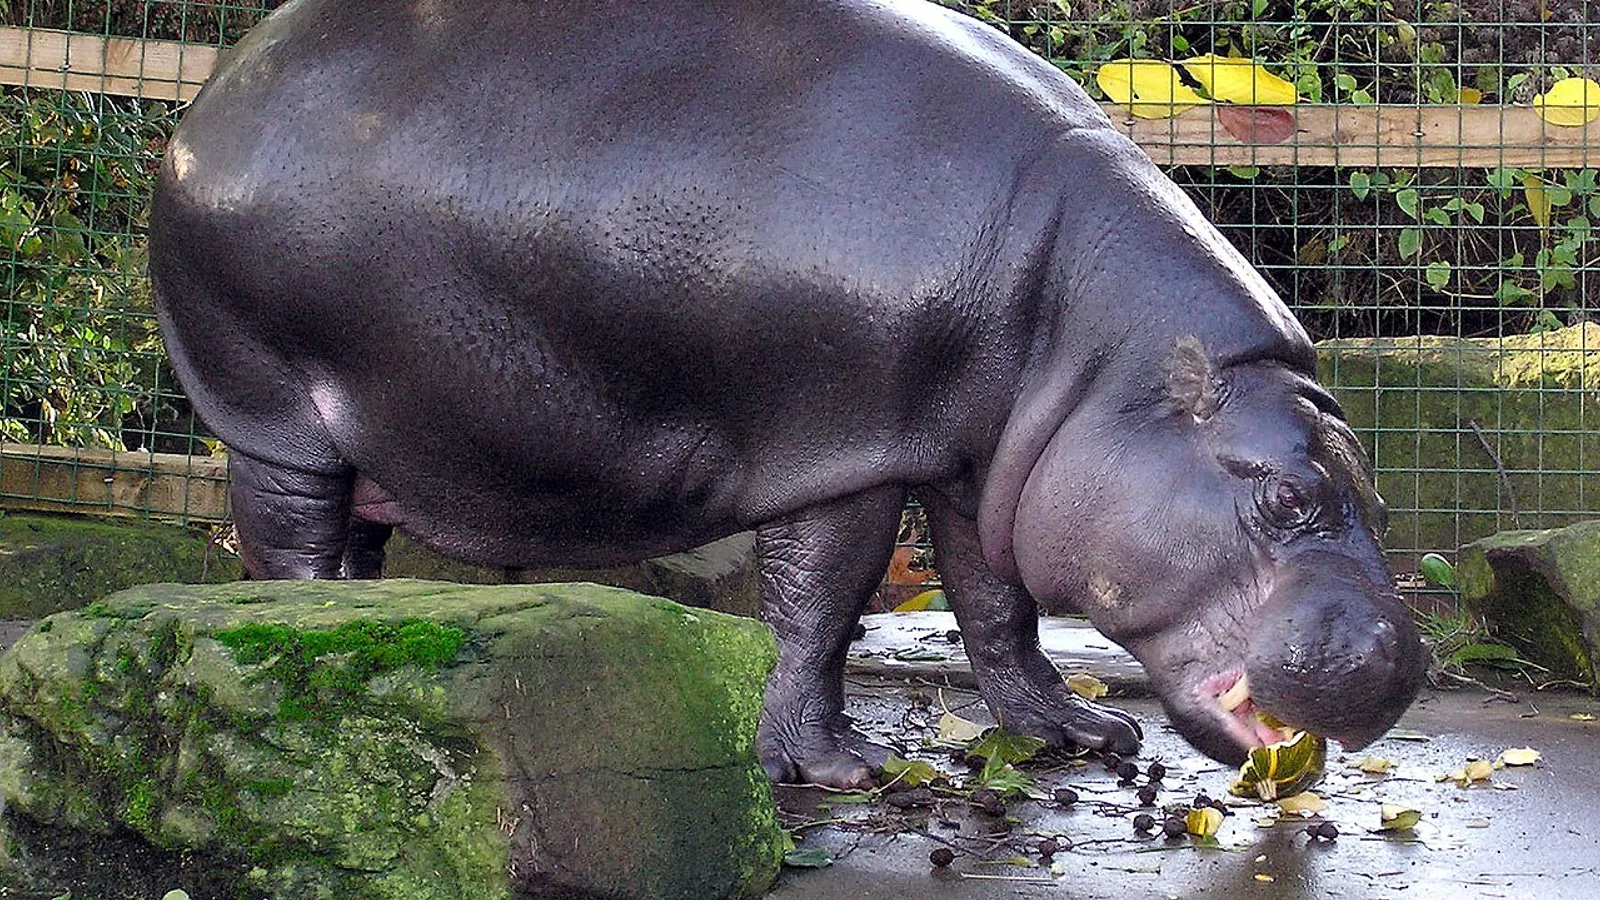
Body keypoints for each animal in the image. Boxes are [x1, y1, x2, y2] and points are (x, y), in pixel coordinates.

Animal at [149, 0, 1427, 787]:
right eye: (1283, 499)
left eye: (1370, 491)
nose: (1399, 661)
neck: (1098, 356)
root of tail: (219, 93)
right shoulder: (849, 441)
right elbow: (820, 606)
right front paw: (837, 767)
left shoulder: (981, 461)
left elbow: (995, 600)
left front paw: (1078, 731)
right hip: (272, 414)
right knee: (290, 544)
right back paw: (304, 633)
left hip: (371, 434)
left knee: (352, 547)